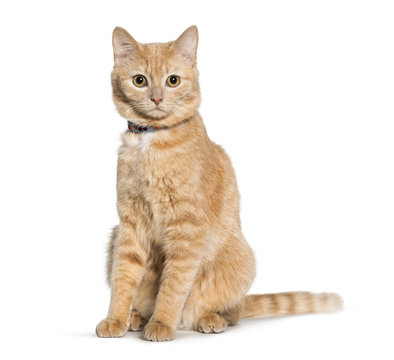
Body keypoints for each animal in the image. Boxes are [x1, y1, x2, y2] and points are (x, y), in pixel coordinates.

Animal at [95, 26, 342, 344]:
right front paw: (116, 319)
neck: (151, 140)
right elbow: (123, 278)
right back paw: (137, 317)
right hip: (113, 237)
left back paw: (208, 319)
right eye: (140, 80)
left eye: (173, 80)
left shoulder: (187, 230)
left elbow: (173, 285)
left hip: (240, 260)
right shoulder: (129, 225)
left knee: (228, 312)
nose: (157, 98)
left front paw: (162, 323)